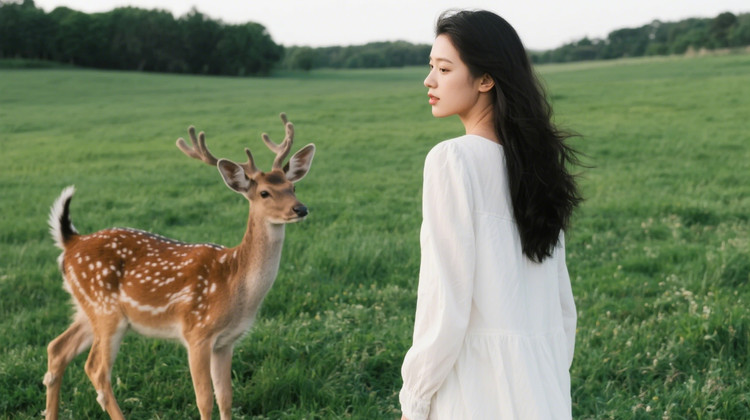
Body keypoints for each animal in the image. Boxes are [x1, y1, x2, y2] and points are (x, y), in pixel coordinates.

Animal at [43, 113, 315, 420]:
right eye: (265, 193)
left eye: (293, 187)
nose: (300, 209)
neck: (235, 284)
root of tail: (70, 242)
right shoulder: (197, 332)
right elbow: (204, 399)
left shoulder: (227, 341)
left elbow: (226, 397)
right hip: (105, 310)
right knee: (96, 370)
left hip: (86, 308)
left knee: (57, 348)